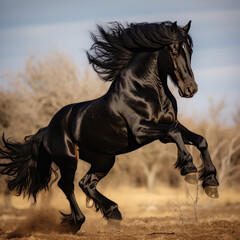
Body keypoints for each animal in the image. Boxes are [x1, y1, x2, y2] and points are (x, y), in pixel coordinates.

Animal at [0, 20, 218, 232]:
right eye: (173, 49)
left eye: (190, 50)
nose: (190, 89)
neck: (146, 90)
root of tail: (47, 129)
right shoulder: (142, 130)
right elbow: (176, 135)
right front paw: (189, 170)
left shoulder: (169, 126)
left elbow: (200, 140)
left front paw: (211, 184)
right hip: (69, 159)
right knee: (67, 185)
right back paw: (78, 222)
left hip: (104, 159)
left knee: (86, 183)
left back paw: (113, 213)